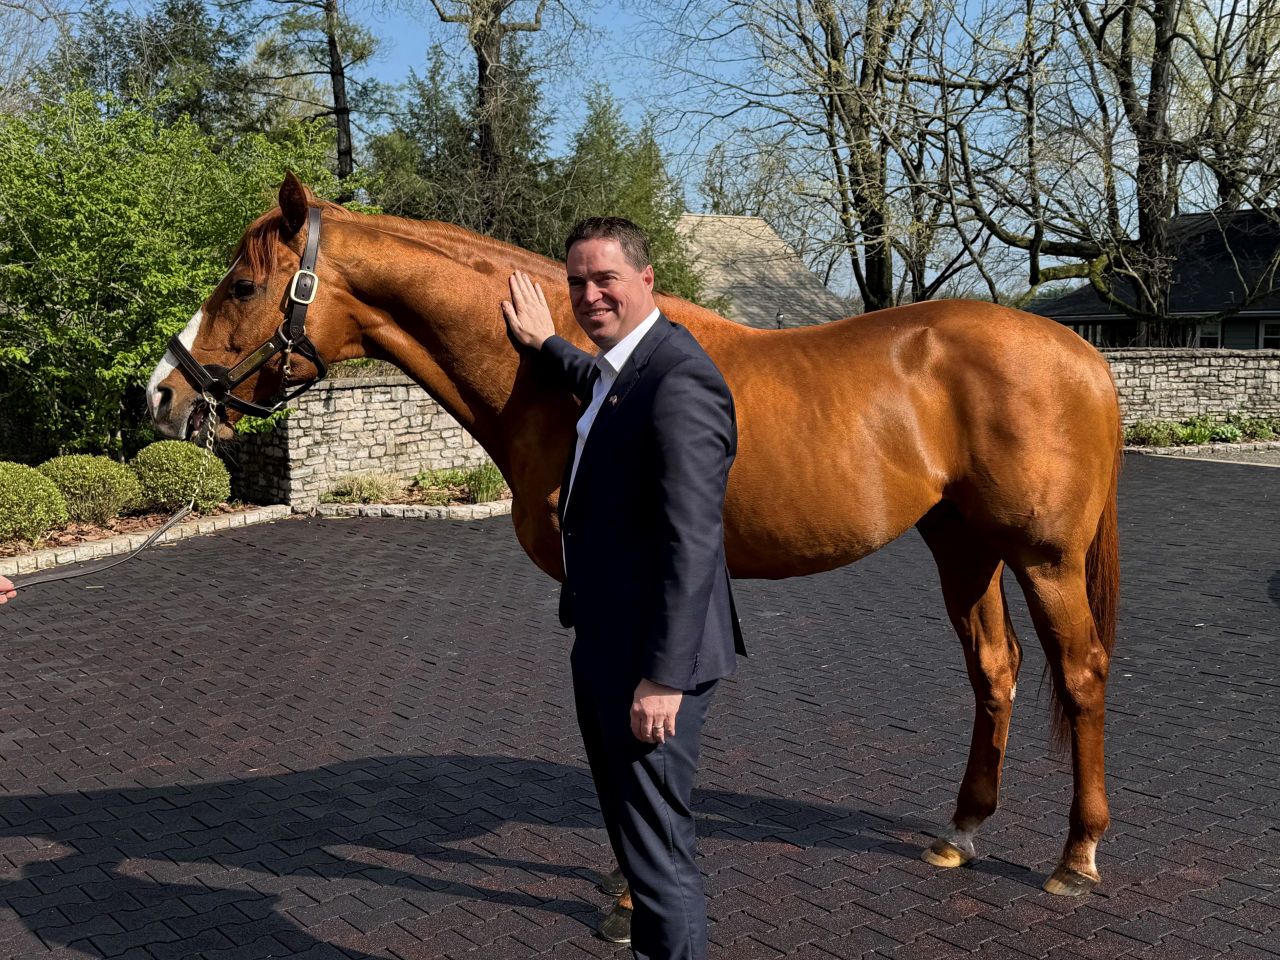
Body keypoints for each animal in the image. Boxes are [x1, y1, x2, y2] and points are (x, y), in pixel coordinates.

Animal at [147, 174, 1121, 898]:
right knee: (996, 670)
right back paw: (961, 830)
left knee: (1080, 674)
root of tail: (1084, 354)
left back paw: (1076, 858)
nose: (161, 393)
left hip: (1043, 558)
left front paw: (629, 887)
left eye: (241, 286)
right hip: (962, 546)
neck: (570, 378)